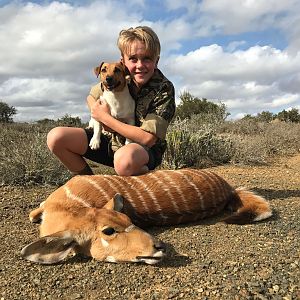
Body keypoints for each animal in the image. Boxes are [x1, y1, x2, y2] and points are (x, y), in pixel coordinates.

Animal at [21, 169, 272, 264]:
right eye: (108, 230)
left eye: (131, 222)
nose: (159, 247)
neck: (67, 204)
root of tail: (229, 189)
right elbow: (34, 211)